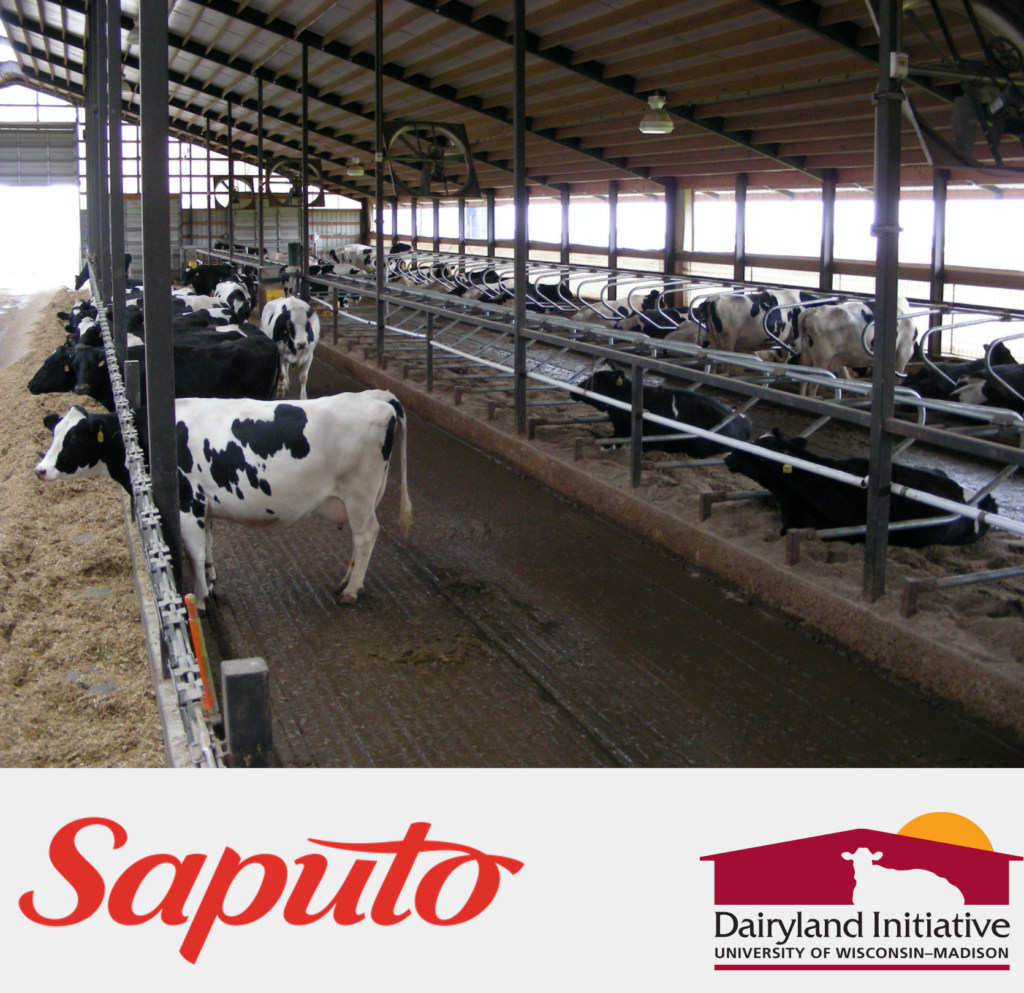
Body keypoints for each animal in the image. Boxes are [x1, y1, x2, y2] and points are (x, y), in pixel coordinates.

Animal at [35, 391, 412, 612]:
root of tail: (378, 398)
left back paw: (352, 589)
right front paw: (212, 582)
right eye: (55, 432)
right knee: (358, 539)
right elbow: (208, 547)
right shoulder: (204, 507)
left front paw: (201, 600)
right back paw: (345, 581)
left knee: (366, 535)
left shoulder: (187, 505)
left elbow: (194, 551)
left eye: (74, 438)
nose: (40, 470)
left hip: (359, 493)